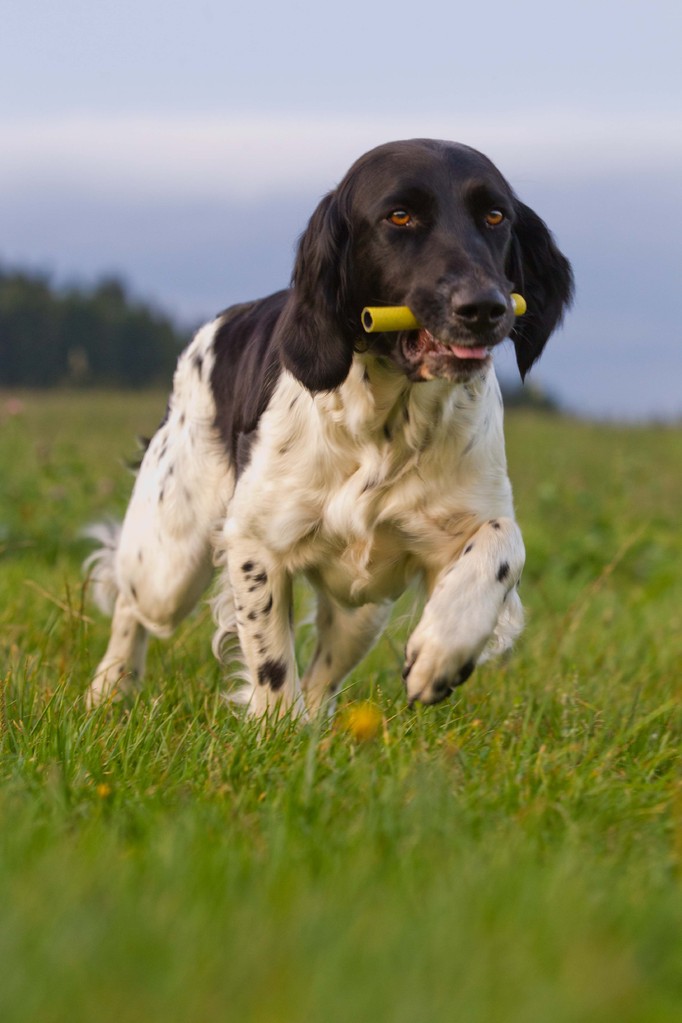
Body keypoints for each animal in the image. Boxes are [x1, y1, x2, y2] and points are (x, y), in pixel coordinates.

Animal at [86, 138, 576, 720]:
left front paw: (441, 652)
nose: (484, 307)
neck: (386, 427)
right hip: (170, 561)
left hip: (362, 608)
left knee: (325, 674)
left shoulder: (458, 525)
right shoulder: (254, 539)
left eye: (495, 216)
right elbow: (272, 664)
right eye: (400, 216)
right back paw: (110, 685)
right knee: (130, 597)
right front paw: (272, 728)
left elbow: (503, 544)